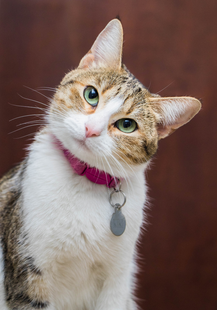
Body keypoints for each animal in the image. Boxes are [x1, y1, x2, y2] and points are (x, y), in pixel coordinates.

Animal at [0, 19, 200, 310]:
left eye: (127, 125)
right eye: (91, 94)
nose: (91, 129)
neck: (85, 181)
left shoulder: (118, 277)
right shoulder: (28, 273)